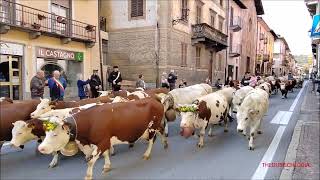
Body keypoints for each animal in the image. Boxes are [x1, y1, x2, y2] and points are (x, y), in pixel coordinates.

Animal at [37, 97, 168, 180]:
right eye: (46, 132)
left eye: (55, 134)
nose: (41, 148)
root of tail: (154, 99)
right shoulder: (102, 142)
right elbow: (105, 155)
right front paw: (107, 167)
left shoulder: (102, 142)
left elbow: (91, 161)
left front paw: (88, 176)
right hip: (153, 127)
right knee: (161, 130)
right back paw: (165, 143)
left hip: (152, 128)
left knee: (151, 140)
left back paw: (147, 154)